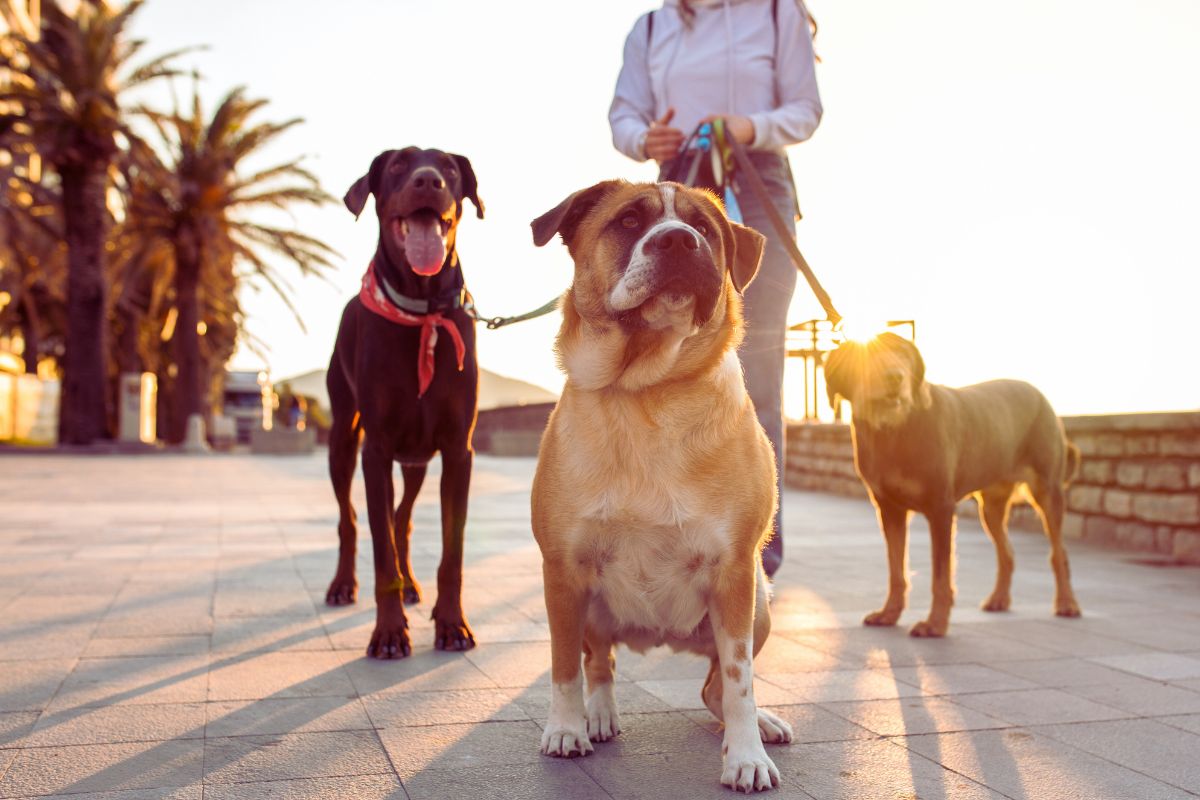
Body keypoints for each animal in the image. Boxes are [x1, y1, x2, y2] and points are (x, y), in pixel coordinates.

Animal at [326, 146, 484, 662]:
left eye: (451, 169)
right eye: (398, 165)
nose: (429, 181)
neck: (423, 314)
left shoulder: (457, 451)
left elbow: (451, 552)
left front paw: (452, 624)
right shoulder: (375, 451)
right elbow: (381, 554)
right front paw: (390, 633)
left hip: (416, 459)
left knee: (403, 519)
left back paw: (414, 585)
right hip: (343, 438)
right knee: (352, 520)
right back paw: (342, 584)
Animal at [532, 183, 796, 796]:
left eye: (704, 228)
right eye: (629, 221)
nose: (678, 240)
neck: (646, 392)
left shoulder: (735, 573)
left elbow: (740, 680)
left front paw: (745, 756)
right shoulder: (562, 571)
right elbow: (564, 666)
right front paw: (566, 727)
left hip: (760, 604)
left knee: (714, 689)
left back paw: (761, 724)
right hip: (592, 605)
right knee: (600, 663)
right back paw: (599, 715)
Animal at [825, 331, 1080, 638]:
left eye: (903, 354)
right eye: (866, 356)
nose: (895, 377)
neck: (895, 430)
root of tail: (1039, 394)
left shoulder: (941, 509)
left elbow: (940, 574)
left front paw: (935, 623)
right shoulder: (889, 509)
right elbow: (896, 569)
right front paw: (889, 613)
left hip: (1047, 490)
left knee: (1059, 552)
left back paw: (1067, 602)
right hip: (991, 506)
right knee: (1006, 551)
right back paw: (999, 598)